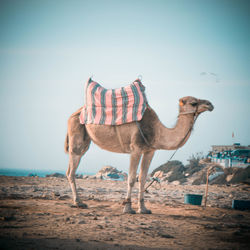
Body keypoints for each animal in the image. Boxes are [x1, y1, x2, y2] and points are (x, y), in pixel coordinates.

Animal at [64, 94, 213, 214]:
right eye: (193, 103)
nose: (210, 104)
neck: (157, 131)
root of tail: (74, 114)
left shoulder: (149, 151)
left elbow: (142, 178)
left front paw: (143, 209)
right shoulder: (135, 149)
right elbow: (131, 179)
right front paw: (128, 208)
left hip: (85, 139)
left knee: (71, 168)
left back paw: (78, 201)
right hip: (76, 132)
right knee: (71, 169)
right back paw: (78, 202)